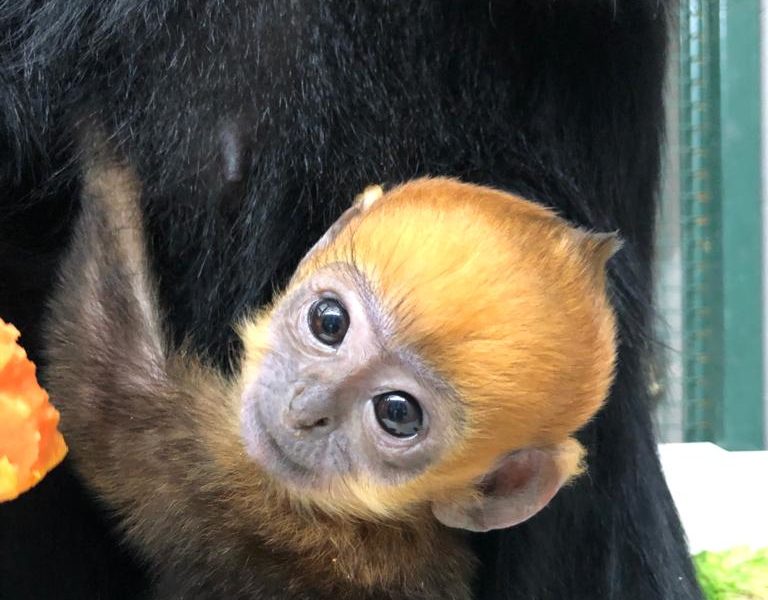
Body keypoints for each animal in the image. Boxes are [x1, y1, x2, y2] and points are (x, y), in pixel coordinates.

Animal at [46, 151, 616, 600]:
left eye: (397, 413)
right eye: (329, 321)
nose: (307, 409)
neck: (372, 518)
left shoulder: (225, 479)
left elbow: (104, 384)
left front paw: (101, 148)